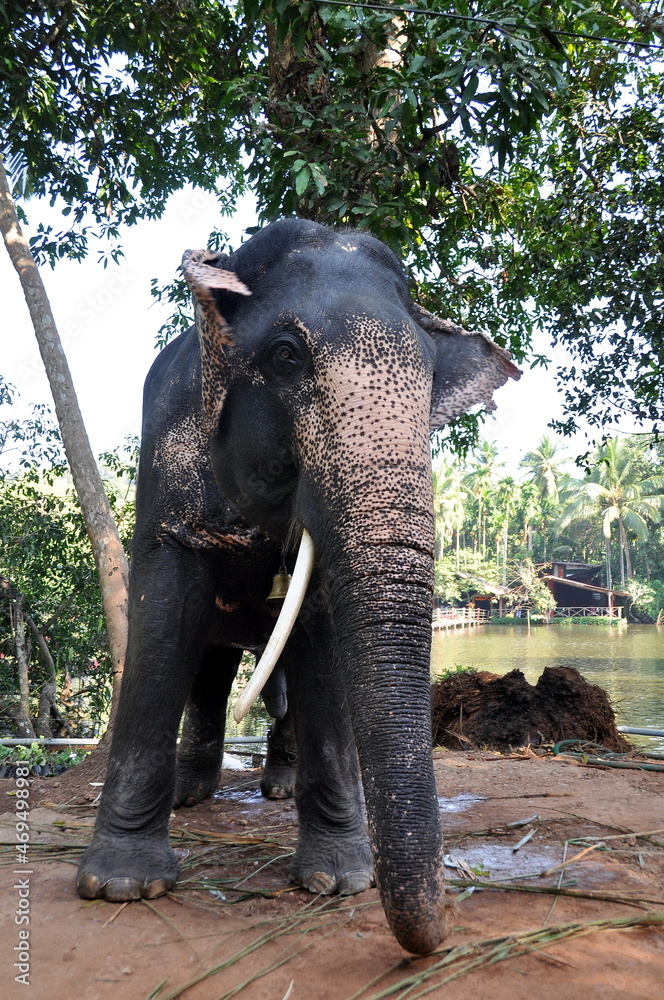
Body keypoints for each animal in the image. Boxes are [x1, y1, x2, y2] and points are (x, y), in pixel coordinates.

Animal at [76, 218, 519, 954]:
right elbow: (163, 621)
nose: (440, 937)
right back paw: (193, 795)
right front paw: (119, 886)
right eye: (286, 357)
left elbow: (322, 643)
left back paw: (279, 789)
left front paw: (339, 882)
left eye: (431, 381)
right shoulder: (166, 453)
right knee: (210, 667)